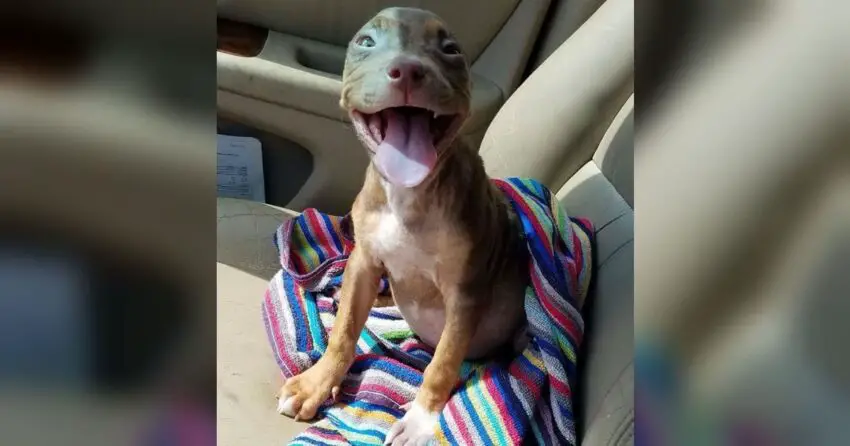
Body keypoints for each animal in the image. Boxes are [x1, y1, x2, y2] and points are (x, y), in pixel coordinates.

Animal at [278, 6, 528, 442]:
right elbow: (344, 331)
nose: (409, 69)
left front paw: (421, 420)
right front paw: (316, 384)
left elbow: (443, 362)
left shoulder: (466, 293)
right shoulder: (363, 262)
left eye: (451, 50)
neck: (408, 195)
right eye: (365, 42)